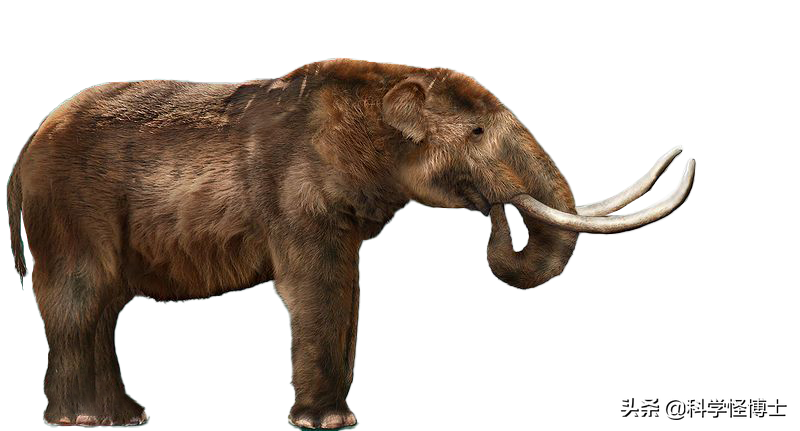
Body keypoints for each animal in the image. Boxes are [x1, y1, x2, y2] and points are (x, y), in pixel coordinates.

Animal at [6, 58, 695, 429]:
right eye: (476, 131)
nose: (493, 208)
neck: (390, 79)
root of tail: (25, 147)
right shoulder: (295, 194)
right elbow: (318, 286)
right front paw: (327, 424)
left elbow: (351, 289)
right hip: (70, 209)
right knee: (81, 303)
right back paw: (85, 421)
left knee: (100, 311)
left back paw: (125, 417)